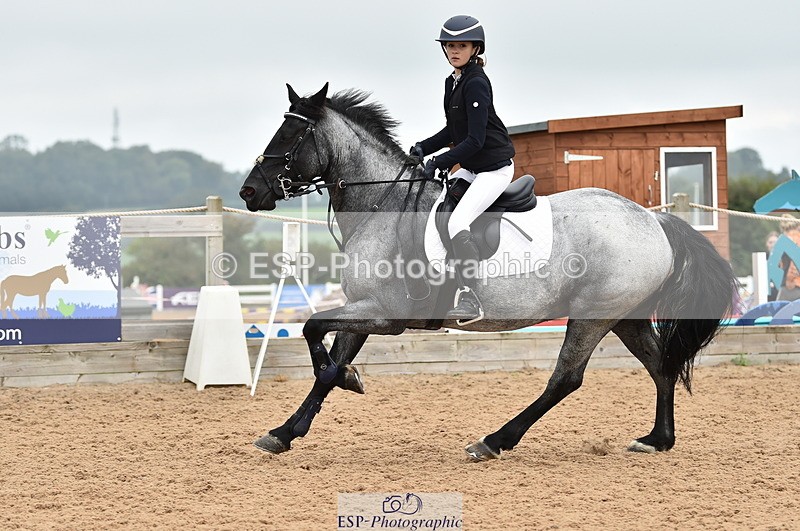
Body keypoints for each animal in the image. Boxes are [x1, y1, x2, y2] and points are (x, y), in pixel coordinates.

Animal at [239, 83, 737, 461]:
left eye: (289, 136)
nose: (249, 192)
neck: (382, 203)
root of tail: (653, 220)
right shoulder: (363, 308)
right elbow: (325, 361)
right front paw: (285, 431)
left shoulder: (385, 314)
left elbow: (312, 333)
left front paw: (344, 382)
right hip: (624, 316)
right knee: (660, 365)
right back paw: (657, 440)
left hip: (593, 315)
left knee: (566, 378)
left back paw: (494, 441)